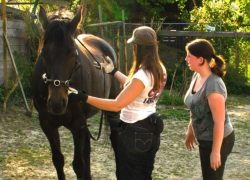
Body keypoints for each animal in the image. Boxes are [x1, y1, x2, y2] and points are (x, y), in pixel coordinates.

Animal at [32, 6, 119, 179]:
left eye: (73, 53)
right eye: (43, 53)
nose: (57, 103)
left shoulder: (77, 124)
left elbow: (78, 164)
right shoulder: (47, 124)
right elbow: (58, 160)